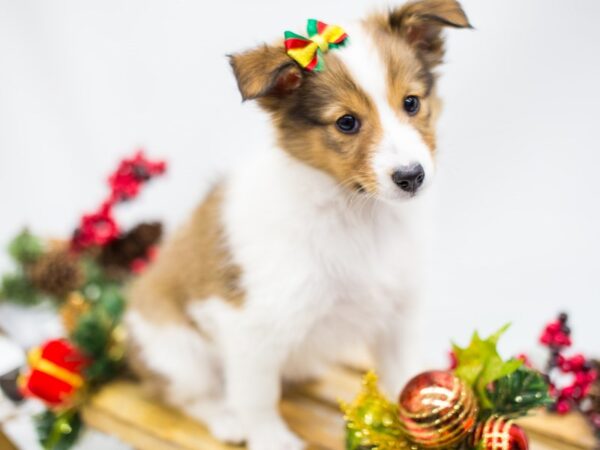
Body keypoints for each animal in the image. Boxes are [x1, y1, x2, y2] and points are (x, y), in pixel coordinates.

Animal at [126, 1, 472, 448]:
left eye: (411, 103)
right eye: (346, 122)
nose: (411, 177)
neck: (360, 215)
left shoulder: (398, 315)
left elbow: (404, 377)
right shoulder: (251, 328)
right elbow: (257, 397)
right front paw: (270, 437)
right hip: (178, 352)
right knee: (189, 395)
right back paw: (225, 417)